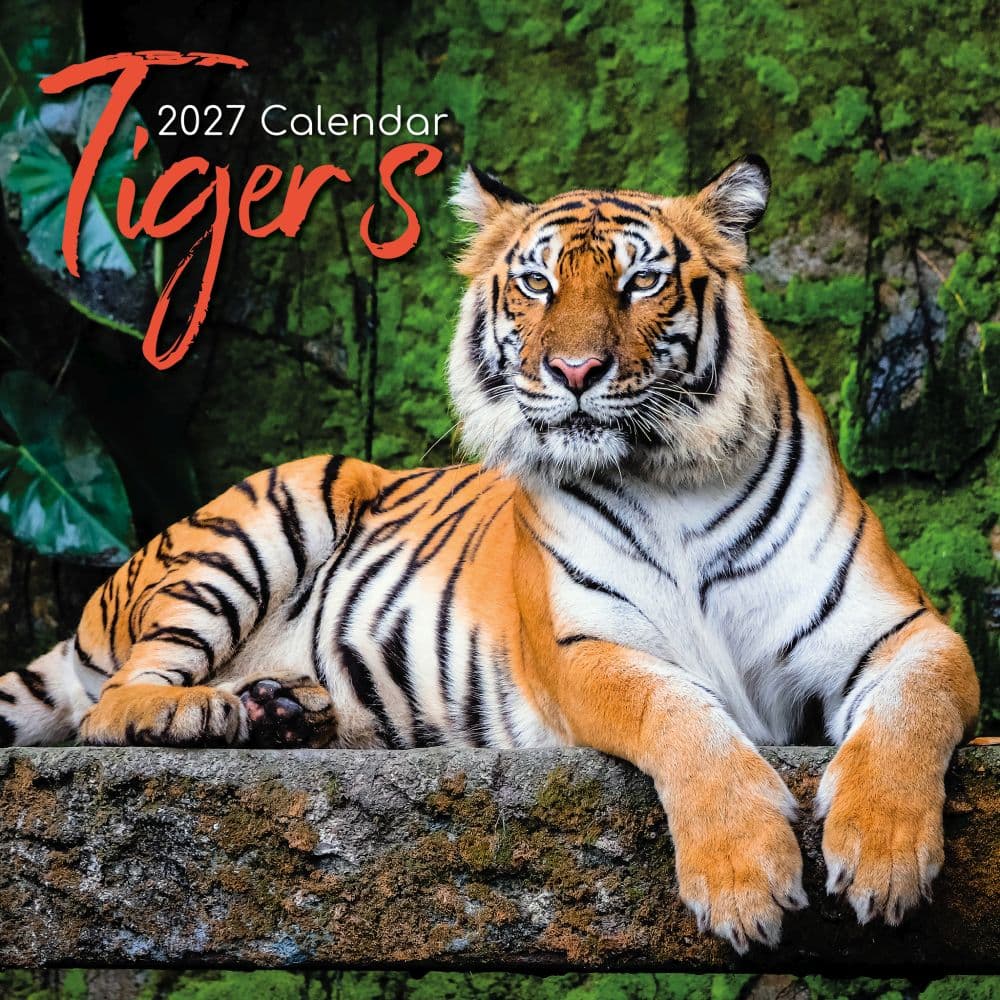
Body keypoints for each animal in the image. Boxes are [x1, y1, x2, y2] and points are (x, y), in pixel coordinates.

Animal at [0, 157, 979, 953]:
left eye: (643, 281)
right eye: (538, 283)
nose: (576, 373)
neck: (671, 475)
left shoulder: (906, 630)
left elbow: (911, 711)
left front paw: (886, 858)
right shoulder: (585, 651)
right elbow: (681, 716)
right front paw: (744, 879)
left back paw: (282, 710)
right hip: (268, 516)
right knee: (112, 706)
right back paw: (201, 712)